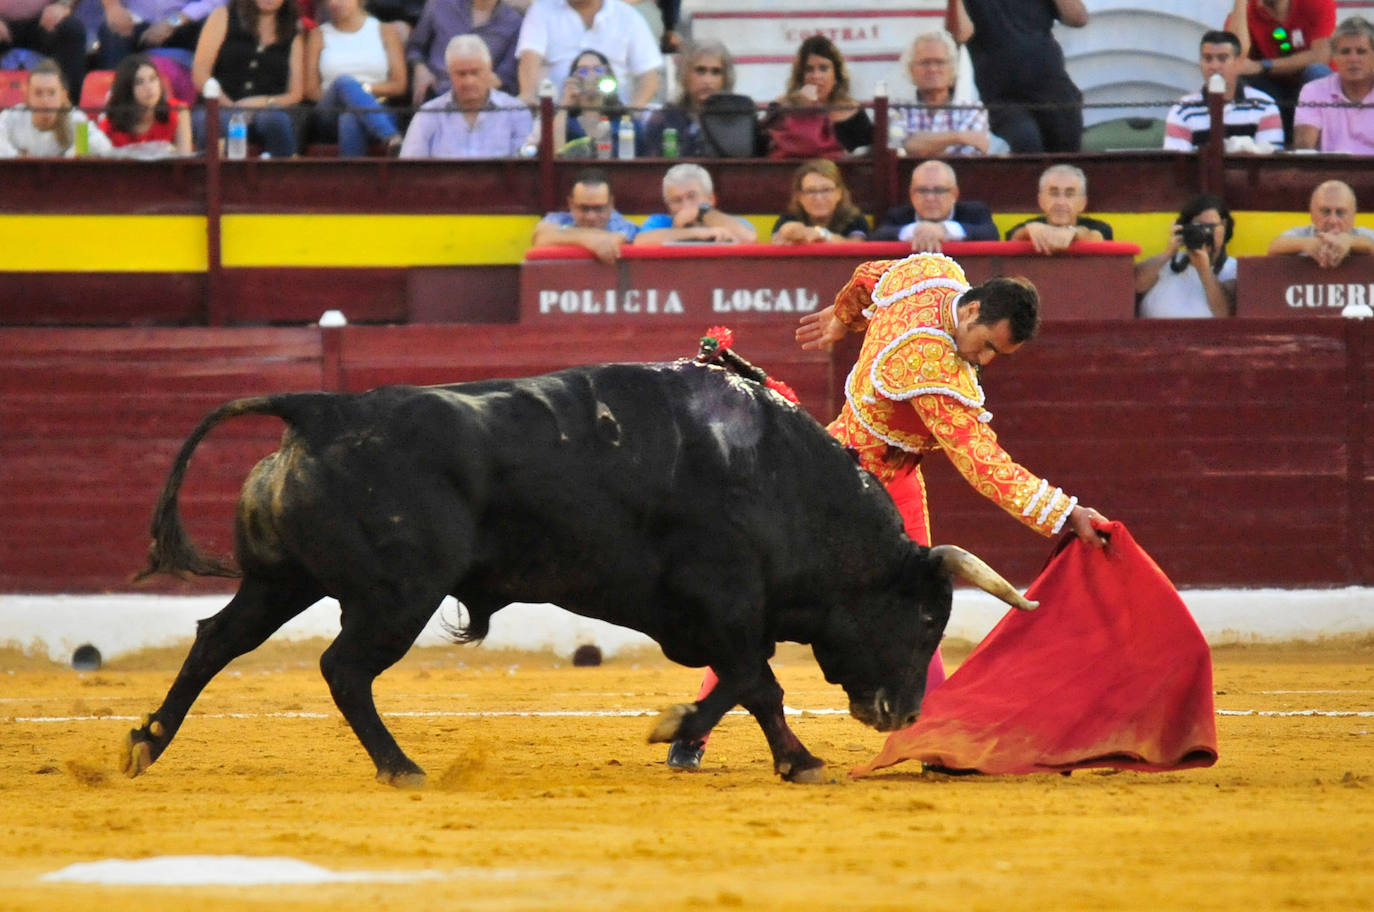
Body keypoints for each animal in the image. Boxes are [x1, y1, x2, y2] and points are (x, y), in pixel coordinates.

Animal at [126, 359, 1033, 785]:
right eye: (926, 619)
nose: (903, 713)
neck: (780, 476)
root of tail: (321, 409)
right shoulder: (725, 599)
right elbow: (759, 681)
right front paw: (791, 757)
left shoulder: (716, 615)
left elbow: (741, 684)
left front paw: (689, 734)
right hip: (396, 596)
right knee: (344, 668)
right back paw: (402, 767)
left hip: (282, 580)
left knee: (216, 641)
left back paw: (145, 742)